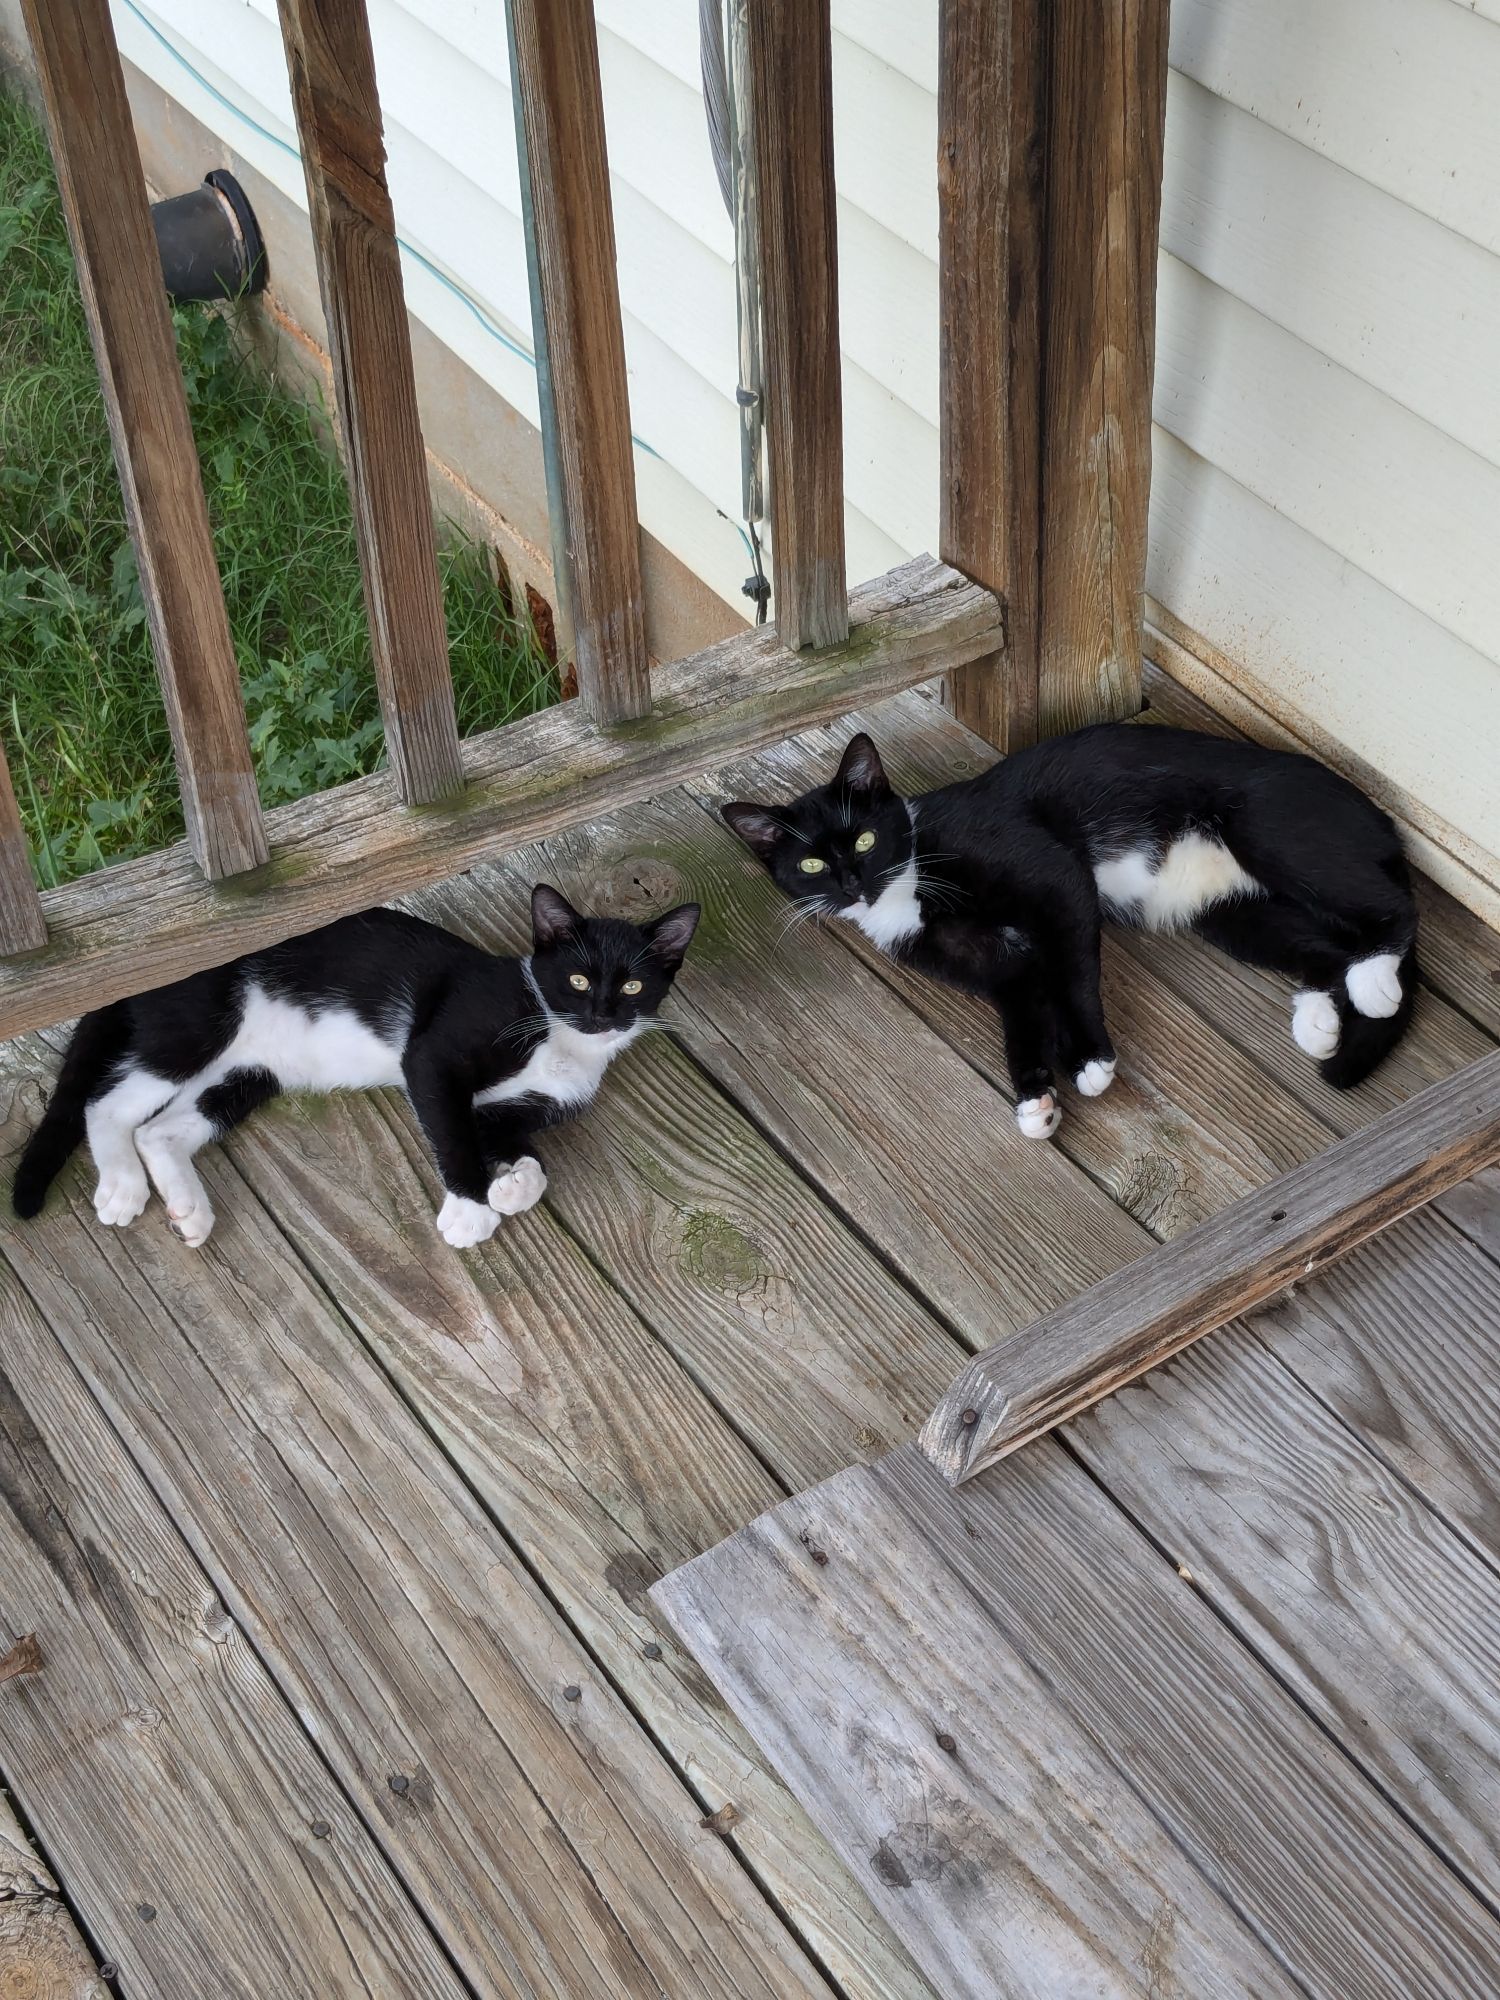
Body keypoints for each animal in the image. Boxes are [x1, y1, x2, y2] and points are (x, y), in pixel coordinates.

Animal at [11, 892, 704, 1248]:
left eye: (635, 985)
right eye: (579, 979)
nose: (603, 1015)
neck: (559, 1037)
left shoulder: (515, 1106)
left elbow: (506, 1140)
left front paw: (514, 1184)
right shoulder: (435, 1057)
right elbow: (452, 1132)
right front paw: (471, 1210)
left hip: (249, 1072)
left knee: (162, 1128)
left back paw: (189, 1208)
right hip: (198, 1023)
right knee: (107, 1104)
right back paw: (123, 1187)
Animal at [724, 732, 1424, 1144]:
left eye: (866, 838)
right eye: (810, 864)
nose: (850, 881)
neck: (911, 882)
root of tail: (1382, 820)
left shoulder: (1056, 880)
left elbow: (1075, 973)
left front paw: (1089, 1058)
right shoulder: (998, 965)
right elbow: (1024, 1010)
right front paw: (1036, 1097)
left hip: (1270, 828)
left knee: (1395, 909)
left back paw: (1373, 980)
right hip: (1232, 914)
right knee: (1324, 948)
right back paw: (1320, 1019)